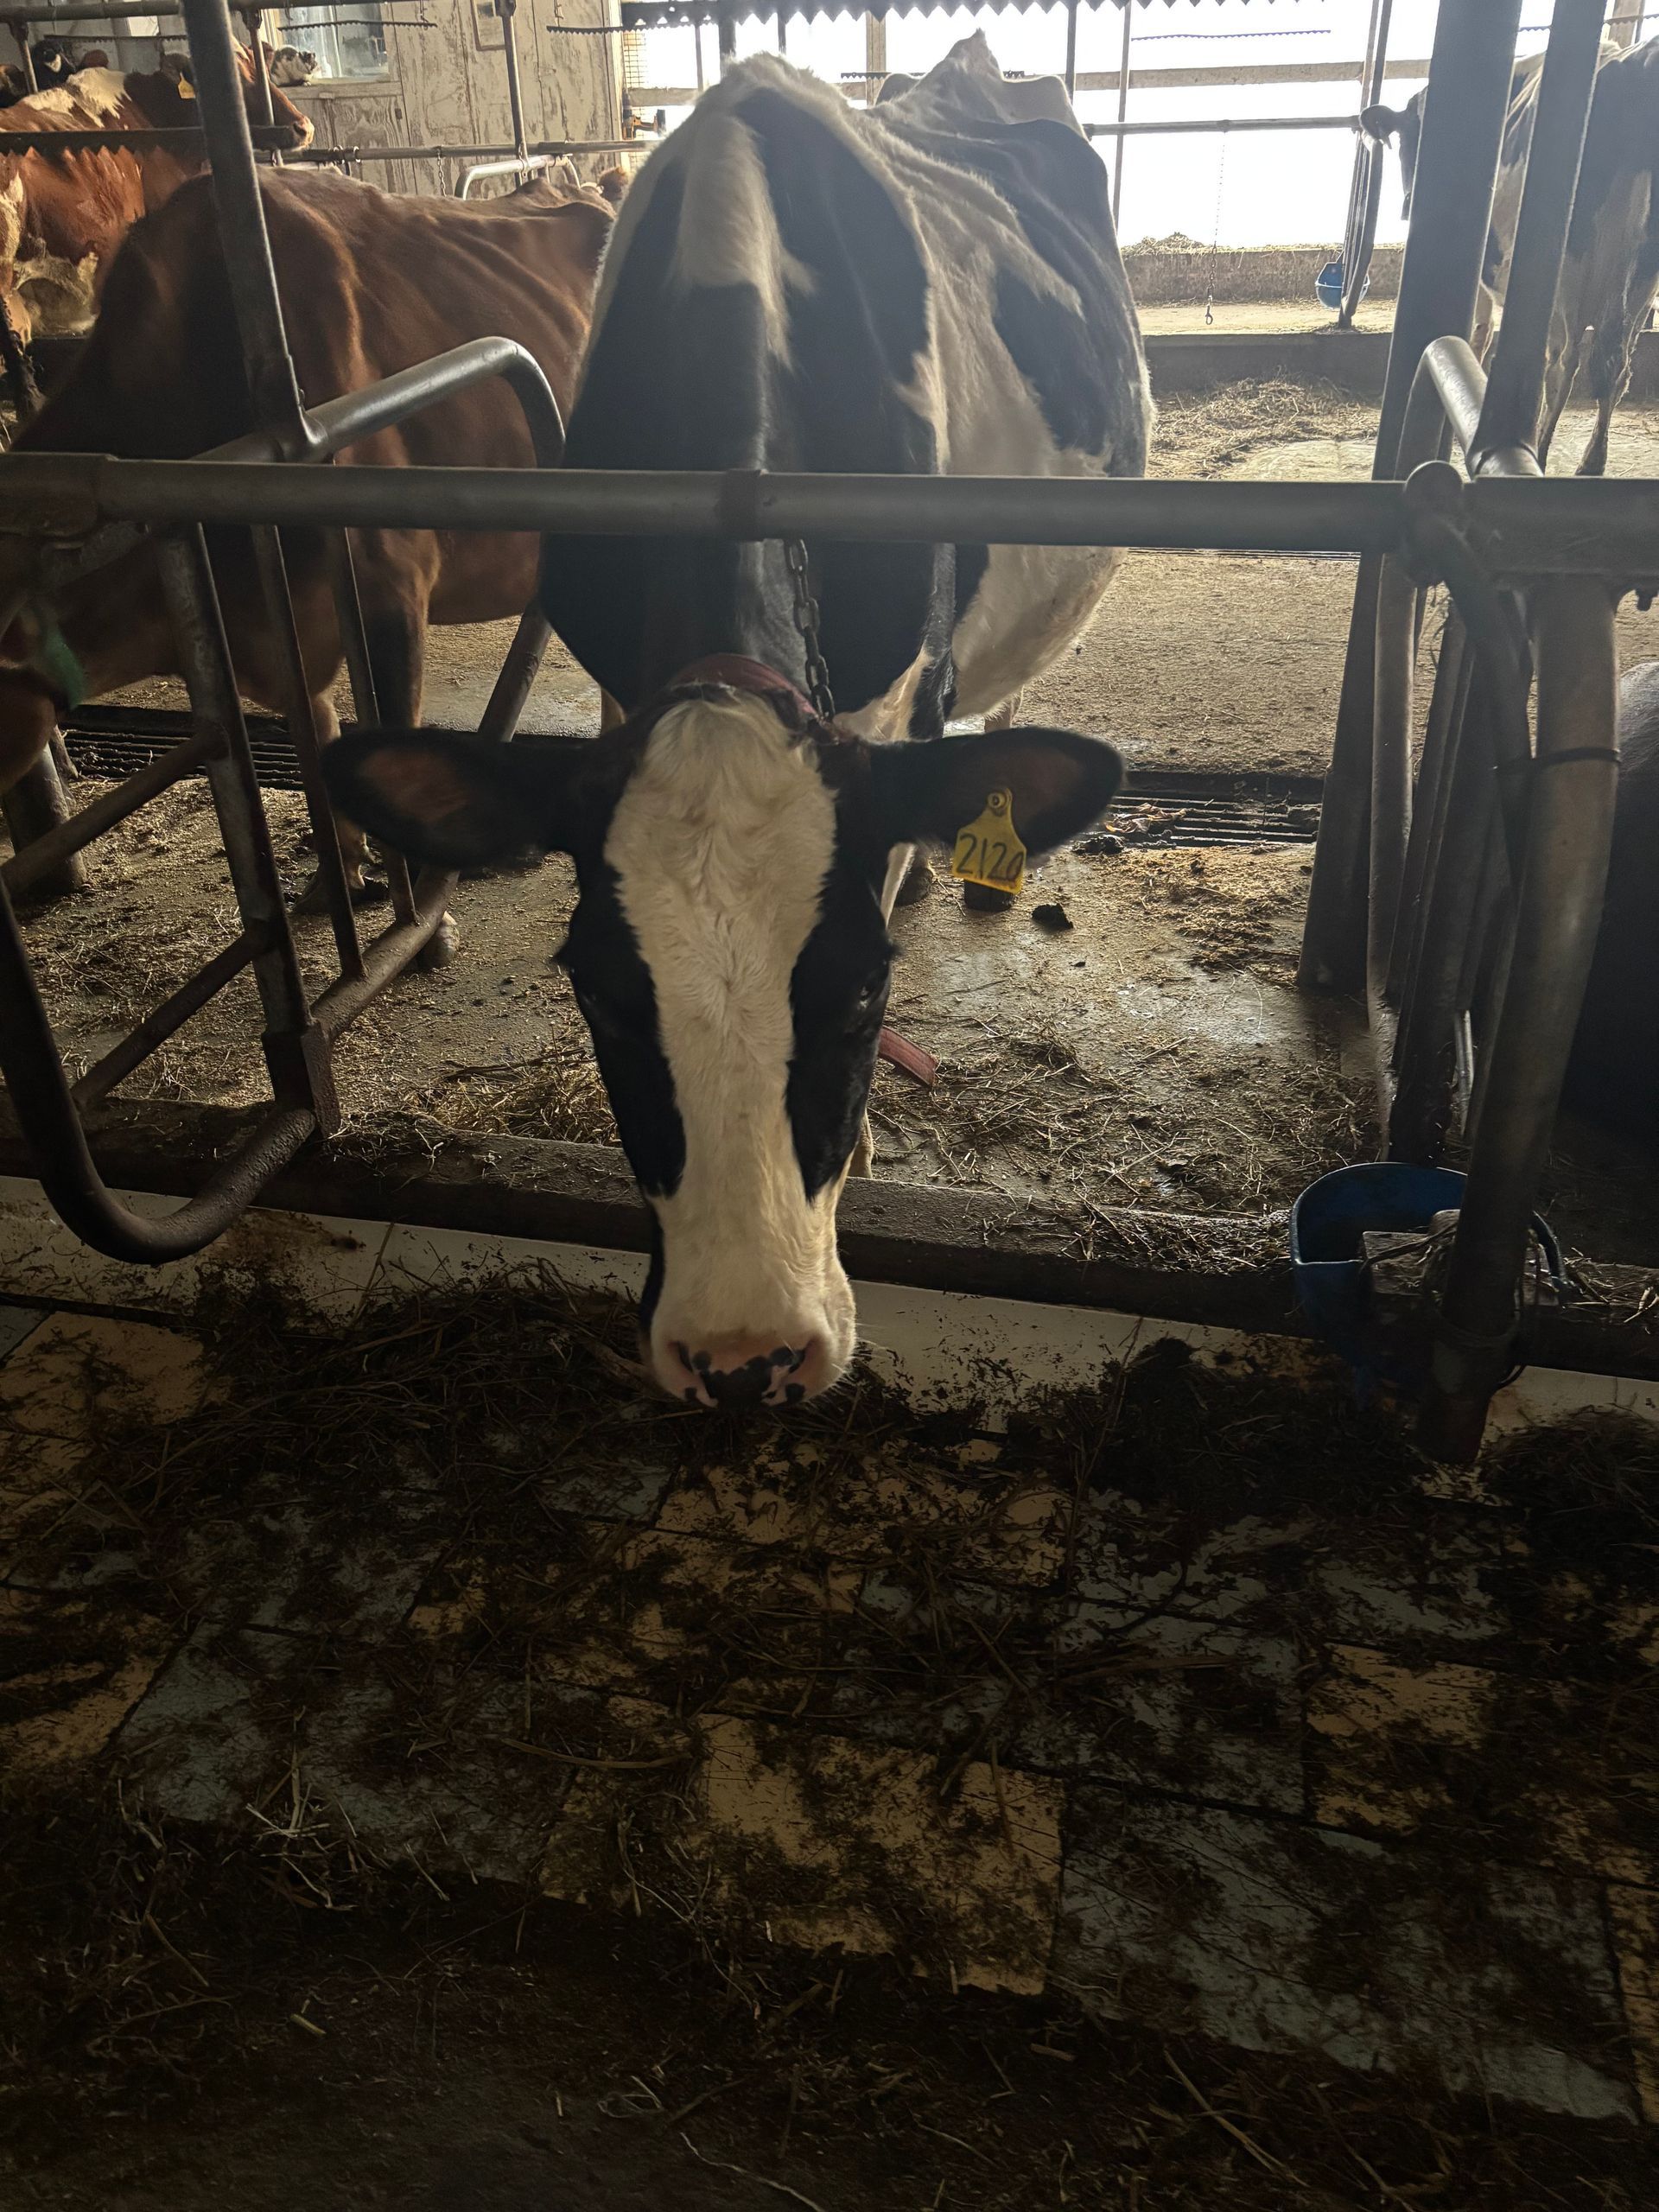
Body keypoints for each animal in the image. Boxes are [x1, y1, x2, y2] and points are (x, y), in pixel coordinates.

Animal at [1363, 37, 1659, 474]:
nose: (1409, 204)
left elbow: (1480, 333)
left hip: (1570, 271)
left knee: (1566, 365)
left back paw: (1543, 449)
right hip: (1639, 281)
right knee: (1615, 366)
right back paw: (1590, 462)